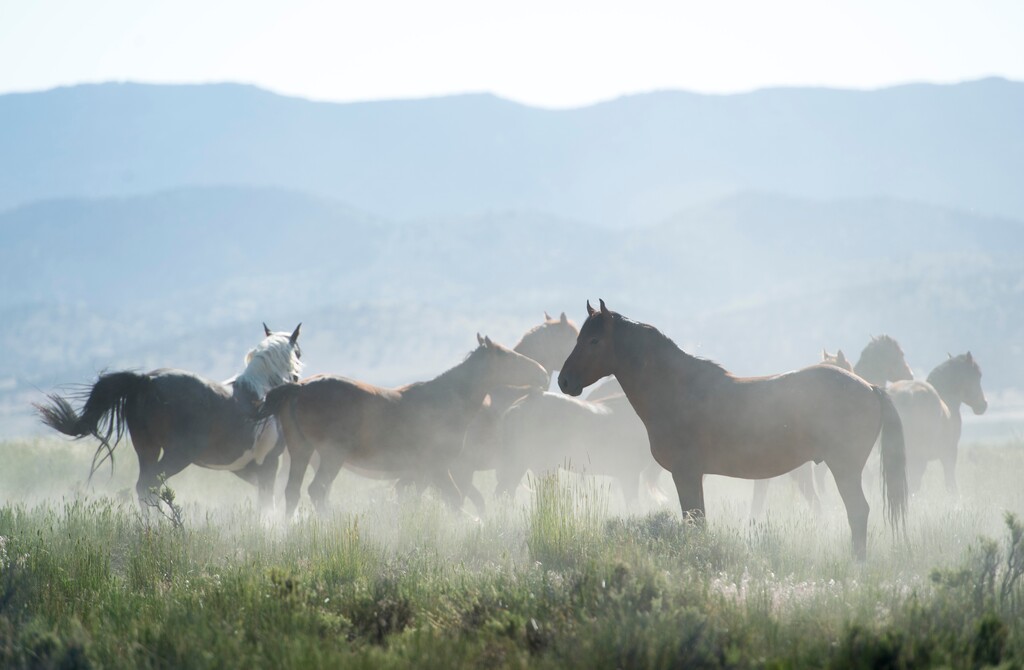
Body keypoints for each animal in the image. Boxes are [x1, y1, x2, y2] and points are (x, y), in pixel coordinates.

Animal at [35, 324, 303, 509]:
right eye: (299, 353)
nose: (298, 380)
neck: (262, 393)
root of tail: (146, 381)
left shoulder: (246, 468)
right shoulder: (268, 463)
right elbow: (268, 504)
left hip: (147, 450)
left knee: (143, 488)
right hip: (177, 454)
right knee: (150, 486)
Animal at [258, 334, 549, 517]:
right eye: (508, 356)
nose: (544, 375)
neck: (446, 400)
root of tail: (299, 388)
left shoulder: (420, 473)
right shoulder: (436, 468)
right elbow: (454, 500)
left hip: (301, 451)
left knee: (292, 492)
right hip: (331, 456)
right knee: (317, 491)